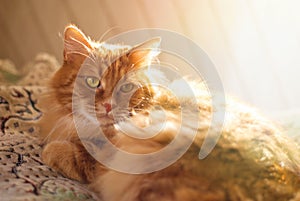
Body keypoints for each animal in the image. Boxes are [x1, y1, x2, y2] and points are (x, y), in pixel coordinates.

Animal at [38, 25, 300, 201]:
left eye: (126, 87)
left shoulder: (101, 158)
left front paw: (51, 150)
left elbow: (67, 153)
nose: (108, 106)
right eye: (93, 82)